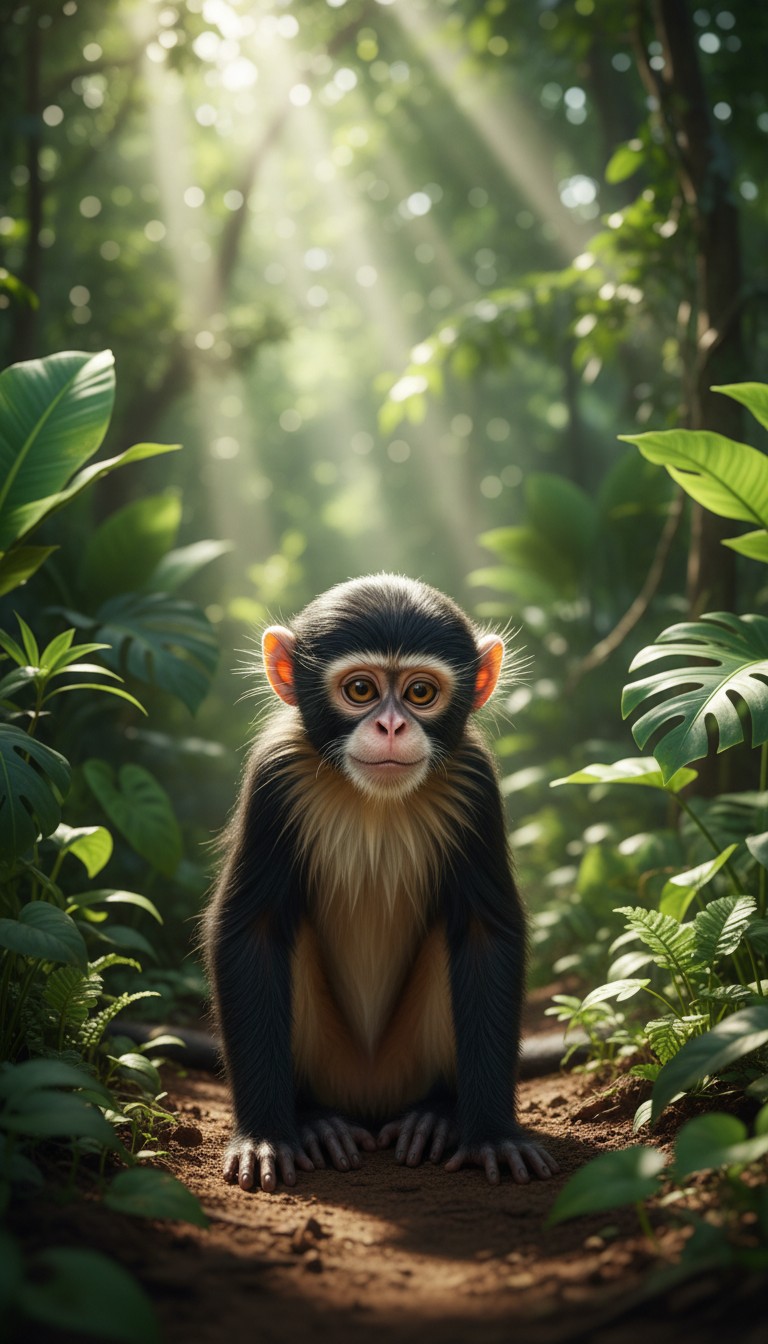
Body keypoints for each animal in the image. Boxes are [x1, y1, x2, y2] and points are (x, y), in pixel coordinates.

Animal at [204, 574, 559, 1193]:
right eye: (361, 689)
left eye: (419, 693)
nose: (391, 725)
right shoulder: (275, 774)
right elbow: (254, 930)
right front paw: (266, 1135)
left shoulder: (475, 781)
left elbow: (484, 933)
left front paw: (492, 1134)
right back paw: (316, 1120)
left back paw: (437, 1115)